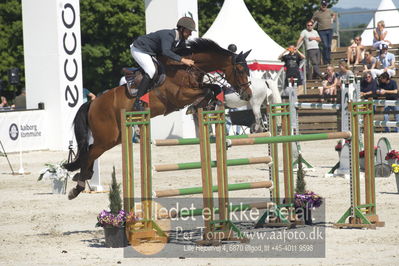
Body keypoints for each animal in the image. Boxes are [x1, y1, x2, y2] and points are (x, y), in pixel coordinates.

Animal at [63, 38, 252, 198]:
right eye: (240, 70)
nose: (248, 95)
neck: (186, 69)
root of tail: (93, 102)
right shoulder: (180, 96)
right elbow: (209, 89)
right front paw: (197, 105)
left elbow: (214, 88)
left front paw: (205, 105)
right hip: (107, 137)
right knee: (89, 153)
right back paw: (78, 186)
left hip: (115, 138)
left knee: (90, 151)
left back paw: (82, 177)